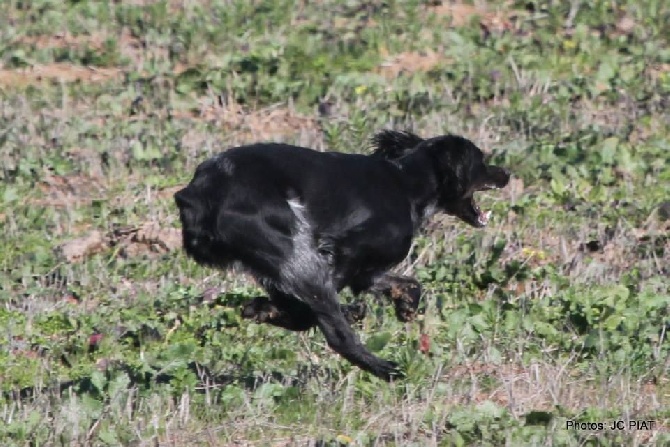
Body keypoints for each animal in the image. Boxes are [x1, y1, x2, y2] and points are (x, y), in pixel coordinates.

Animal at [176, 130, 512, 382]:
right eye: (481, 161)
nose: (507, 174)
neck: (407, 183)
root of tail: (199, 192)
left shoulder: (366, 270)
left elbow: (409, 284)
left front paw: (405, 305)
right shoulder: (344, 252)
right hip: (295, 250)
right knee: (335, 333)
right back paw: (385, 368)